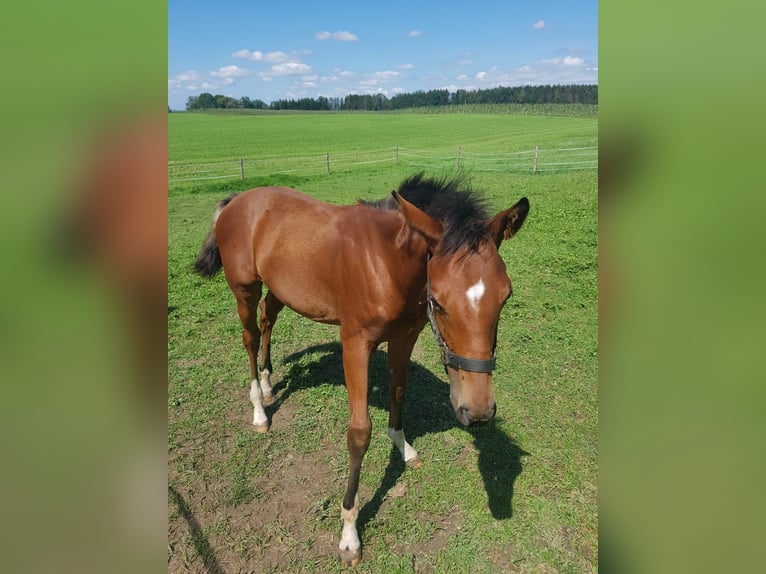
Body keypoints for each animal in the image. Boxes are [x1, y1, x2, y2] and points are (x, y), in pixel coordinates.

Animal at [193, 172, 529, 566]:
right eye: (437, 301)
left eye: (505, 296)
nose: (477, 412)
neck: (386, 262)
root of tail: (236, 201)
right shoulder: (355, 344)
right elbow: (359, 433)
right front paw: (349, 535)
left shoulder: (404, 336)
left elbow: (399, 391)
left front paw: (404, 447)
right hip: (244, 288)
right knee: (249, 336)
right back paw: (259, 409)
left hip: (280, 287)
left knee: (267, 319)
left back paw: (268, 382)